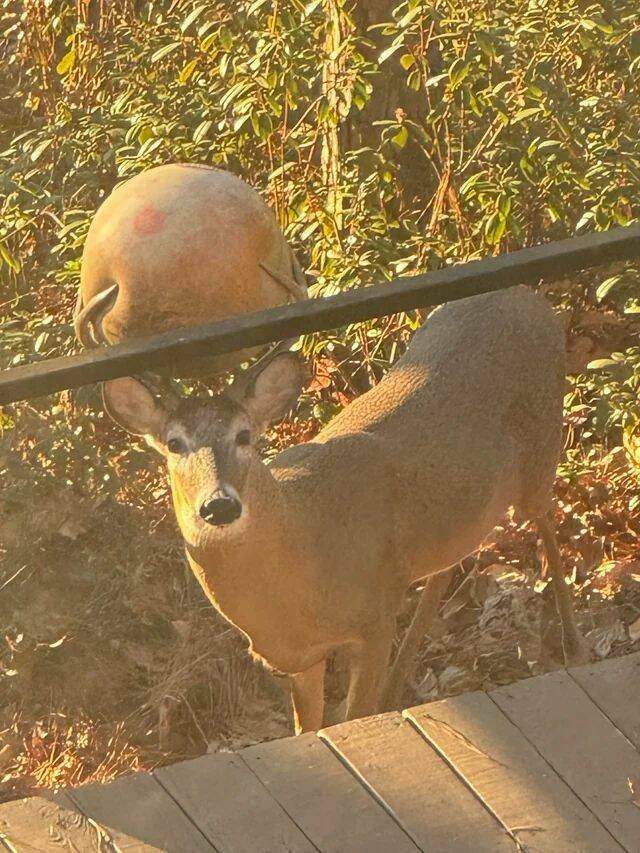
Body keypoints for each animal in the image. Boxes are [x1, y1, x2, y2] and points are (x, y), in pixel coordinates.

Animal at [99, 286, 592, 732]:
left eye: (244, 435)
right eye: (174, 443)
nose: (219, 505)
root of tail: (530, 297)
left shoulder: (374, 617)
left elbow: (356, 716)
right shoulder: (300, 659)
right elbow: (308, 728)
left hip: (541, 449)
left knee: (546, 518)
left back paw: (574, 643)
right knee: (453, 558)